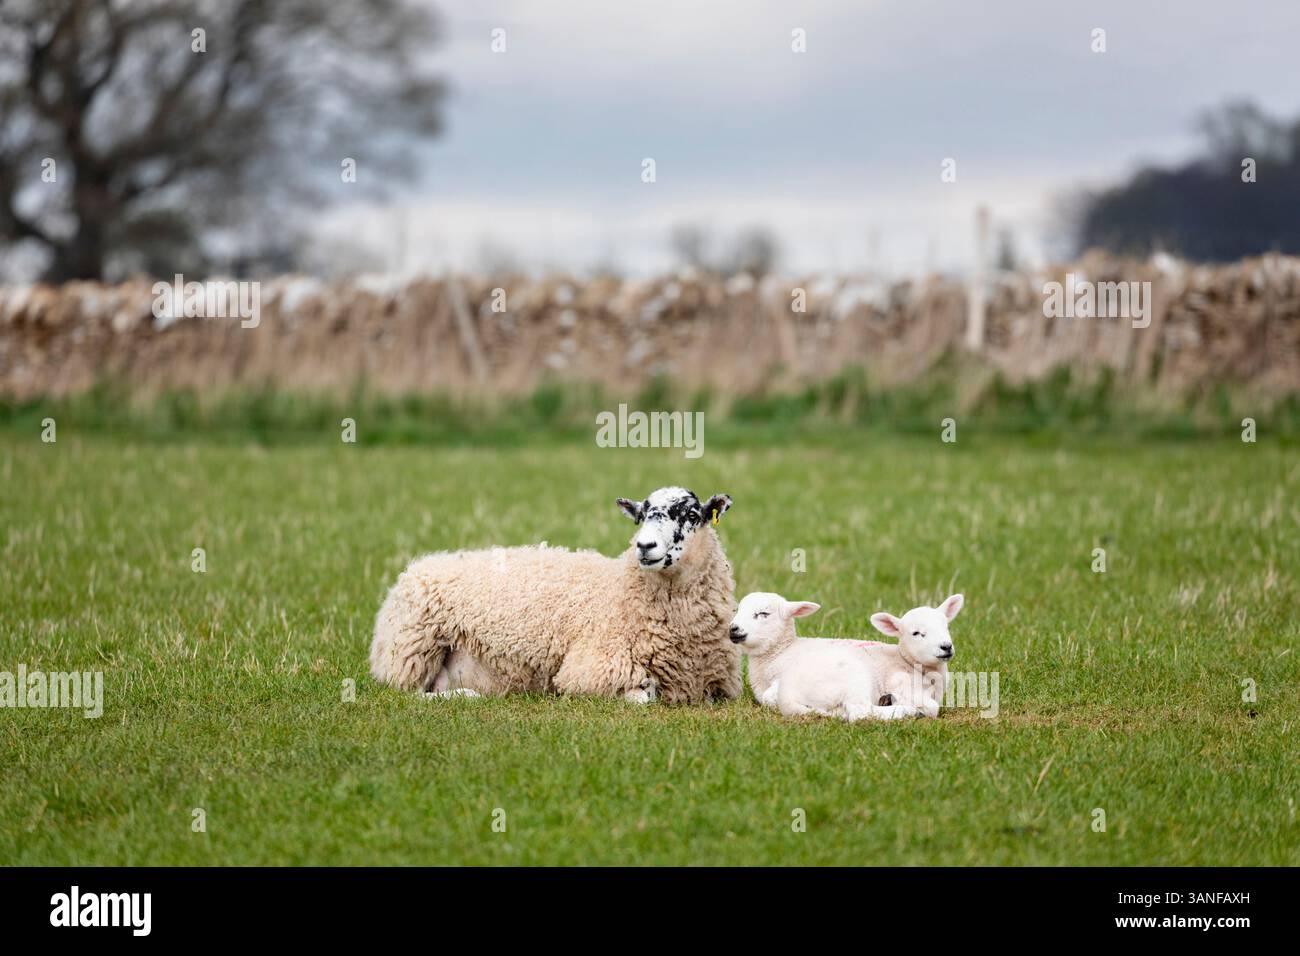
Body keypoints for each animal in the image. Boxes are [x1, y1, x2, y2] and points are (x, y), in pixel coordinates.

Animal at [369, 487, 742, 704]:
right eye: (640, 516)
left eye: (691, 515)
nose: (644, 546)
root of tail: (414, 568)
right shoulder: (588, 670)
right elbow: (645, 694)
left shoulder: (720, 686)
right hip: (409, 654)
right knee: (407, 694)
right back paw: (464, 696)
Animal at [728, 591, 964, 721]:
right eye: (916, 633)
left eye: (763, 614)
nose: (733, 628)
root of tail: (789, 699)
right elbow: (931, 707)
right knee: (860, 713)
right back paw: (906, 711)